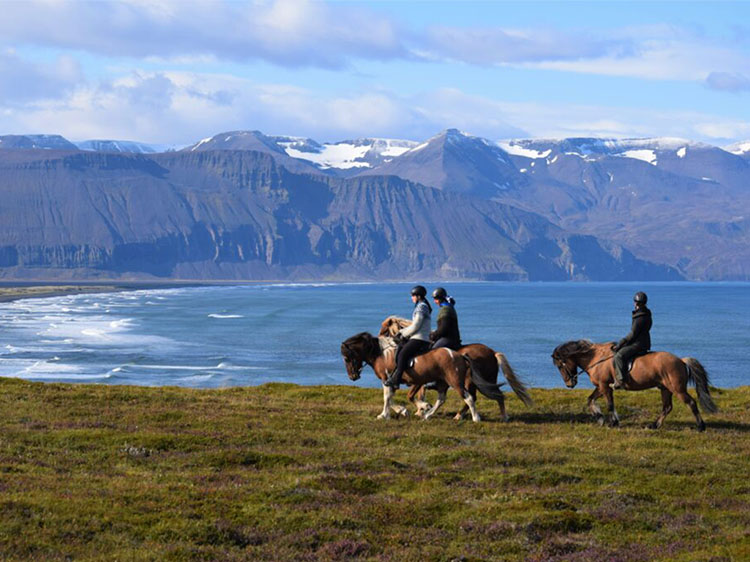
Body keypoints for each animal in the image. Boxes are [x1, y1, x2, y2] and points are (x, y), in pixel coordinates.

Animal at [340, 330, 482, 418]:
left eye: (346, 358)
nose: (352, 377)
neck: (381, 354)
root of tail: (459, 355)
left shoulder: (387, 379)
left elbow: (387, 397)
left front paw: (383, 415)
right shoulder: (392, 382)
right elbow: (391, 398)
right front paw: (405, 410)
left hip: (455, 381)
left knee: (468, 397)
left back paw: (475, 418)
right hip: (443, 382)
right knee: (441, 399)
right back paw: (428, 415)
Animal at [378, 316, 532, 420]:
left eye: (385, 330)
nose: (381, 340)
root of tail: (493, 353)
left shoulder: (419, 381)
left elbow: (411, 396)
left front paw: (421, 409)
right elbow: (418, 395)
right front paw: (421, 410)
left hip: (472, 381)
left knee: (475, 396)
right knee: (478, 396)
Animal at [552, 340, 716, 430]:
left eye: (560, 366)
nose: (569, 384)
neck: (596, 358)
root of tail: (681, 360)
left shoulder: (604, 386)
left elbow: (610, 404)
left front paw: (613, 422)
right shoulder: (601, 386)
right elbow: (590, 400)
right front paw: (599, 418)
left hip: (677, 389)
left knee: (691, 402)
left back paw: (701, 427)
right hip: (665, 389)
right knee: (667, 407)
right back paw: (654, 425)